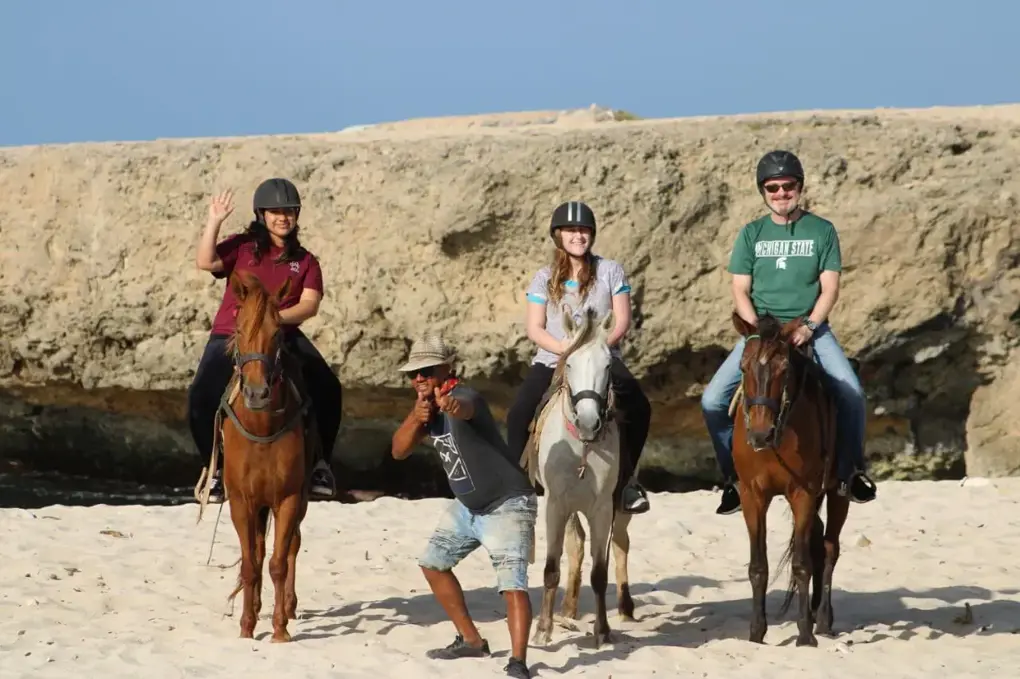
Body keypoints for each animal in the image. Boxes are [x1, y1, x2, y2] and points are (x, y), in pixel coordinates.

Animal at [217, 271, 314, 642]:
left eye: (277, 333)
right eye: (239, 329)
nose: (257, 393)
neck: (261, 426)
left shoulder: (287, 499)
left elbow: (278, 562)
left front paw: (279, 629)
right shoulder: (241, 501)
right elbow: (250, 563)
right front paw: (247, 627)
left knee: (291, 546)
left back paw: (287, 605)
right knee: (257, 551)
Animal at [523, 306, 633, 649]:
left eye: (608, 364)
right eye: (569, 363)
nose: (588, 422)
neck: (581, 447)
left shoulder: (603, 509)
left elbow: (600, 572)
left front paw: (603, 630)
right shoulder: (556, 505)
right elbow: (551, 568)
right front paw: (543, 629)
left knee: (621, 543)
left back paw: (625, 608)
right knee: (575, 545)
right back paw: (567, 611)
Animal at [728, 311, 851, 647]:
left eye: (784, 369)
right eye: (743, 367)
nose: (761, 435)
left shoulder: (803, 493)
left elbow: (801, 565)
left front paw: (805, 633)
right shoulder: (752, 495)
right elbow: (758, 566)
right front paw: (756, 632)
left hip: (837, 494)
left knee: (830, 548)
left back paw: (823, 618)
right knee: (819, 543)